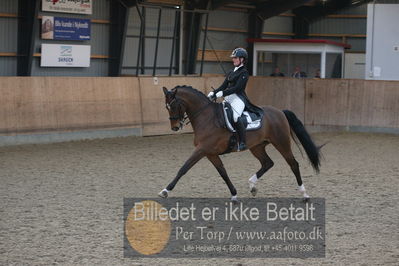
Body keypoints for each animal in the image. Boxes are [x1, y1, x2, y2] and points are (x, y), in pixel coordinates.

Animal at [159, 85, 322, 202]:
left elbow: (184, 168)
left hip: (281, 142)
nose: (175, 127)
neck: (206, 117)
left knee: (293, 164)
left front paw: (165, 191)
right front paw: (234, 194)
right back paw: (252, 186)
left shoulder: (201, 150)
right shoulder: (210, 153)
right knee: (267, 163)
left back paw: (304, 194)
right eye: (166, 107)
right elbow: (223, 173)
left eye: (174, 105)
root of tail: (280, 112)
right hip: (257, 147)